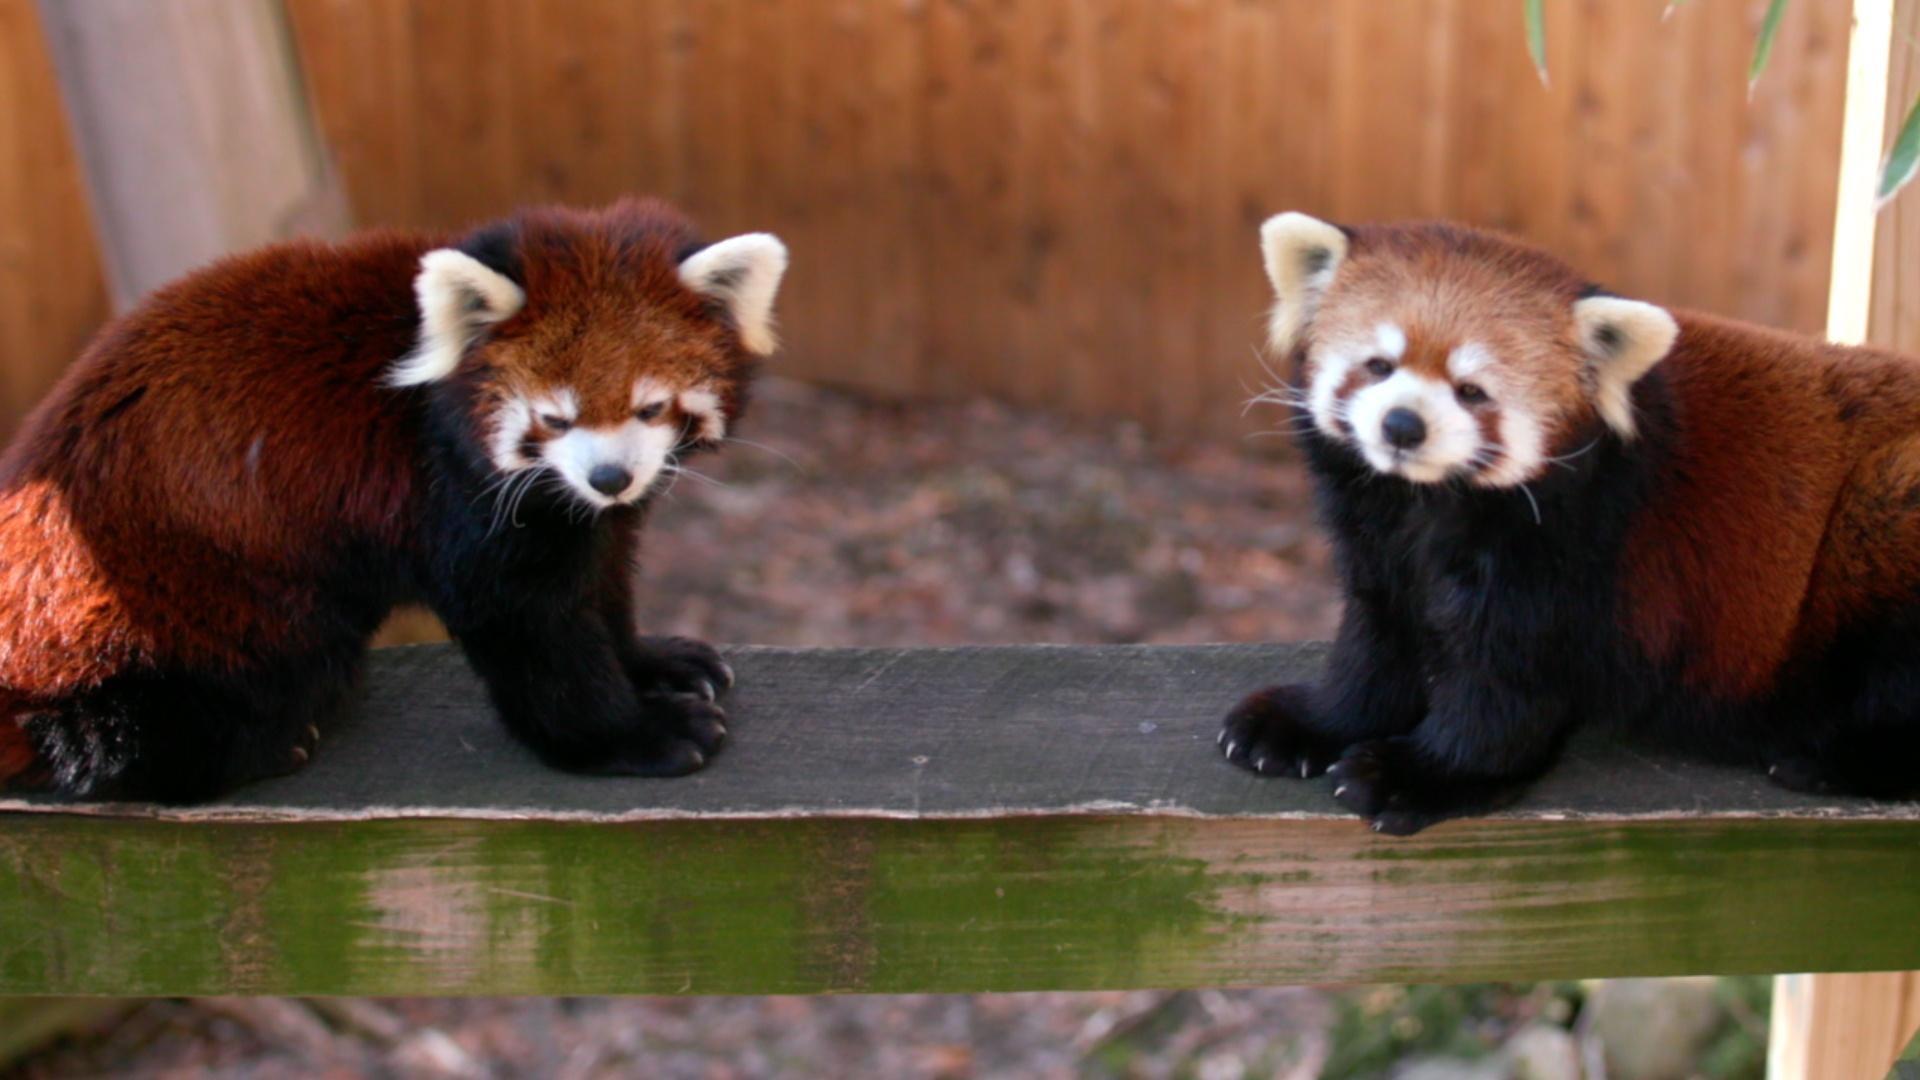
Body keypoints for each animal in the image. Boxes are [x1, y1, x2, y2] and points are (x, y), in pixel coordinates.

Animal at [0, 197, 787, 799]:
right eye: (555, 418)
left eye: (650, 407)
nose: (609, 478)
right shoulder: (450, 493)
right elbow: (528, 626)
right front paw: (633, 735)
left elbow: (605, 574)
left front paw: (651, 660)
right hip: (180, 600)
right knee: (116, 729)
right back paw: (260, 744)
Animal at [1221, 210, 1920, 834]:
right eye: (1378, 366)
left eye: (1471, 391)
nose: (1401, 425)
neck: (1432, 502)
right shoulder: (1382, 542)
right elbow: (1378, 637)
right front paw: (1312, 724)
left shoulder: (1576, 552)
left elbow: (1504, 685)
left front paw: (1421, 774)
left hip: (1888, 505)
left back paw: (1827, 758)